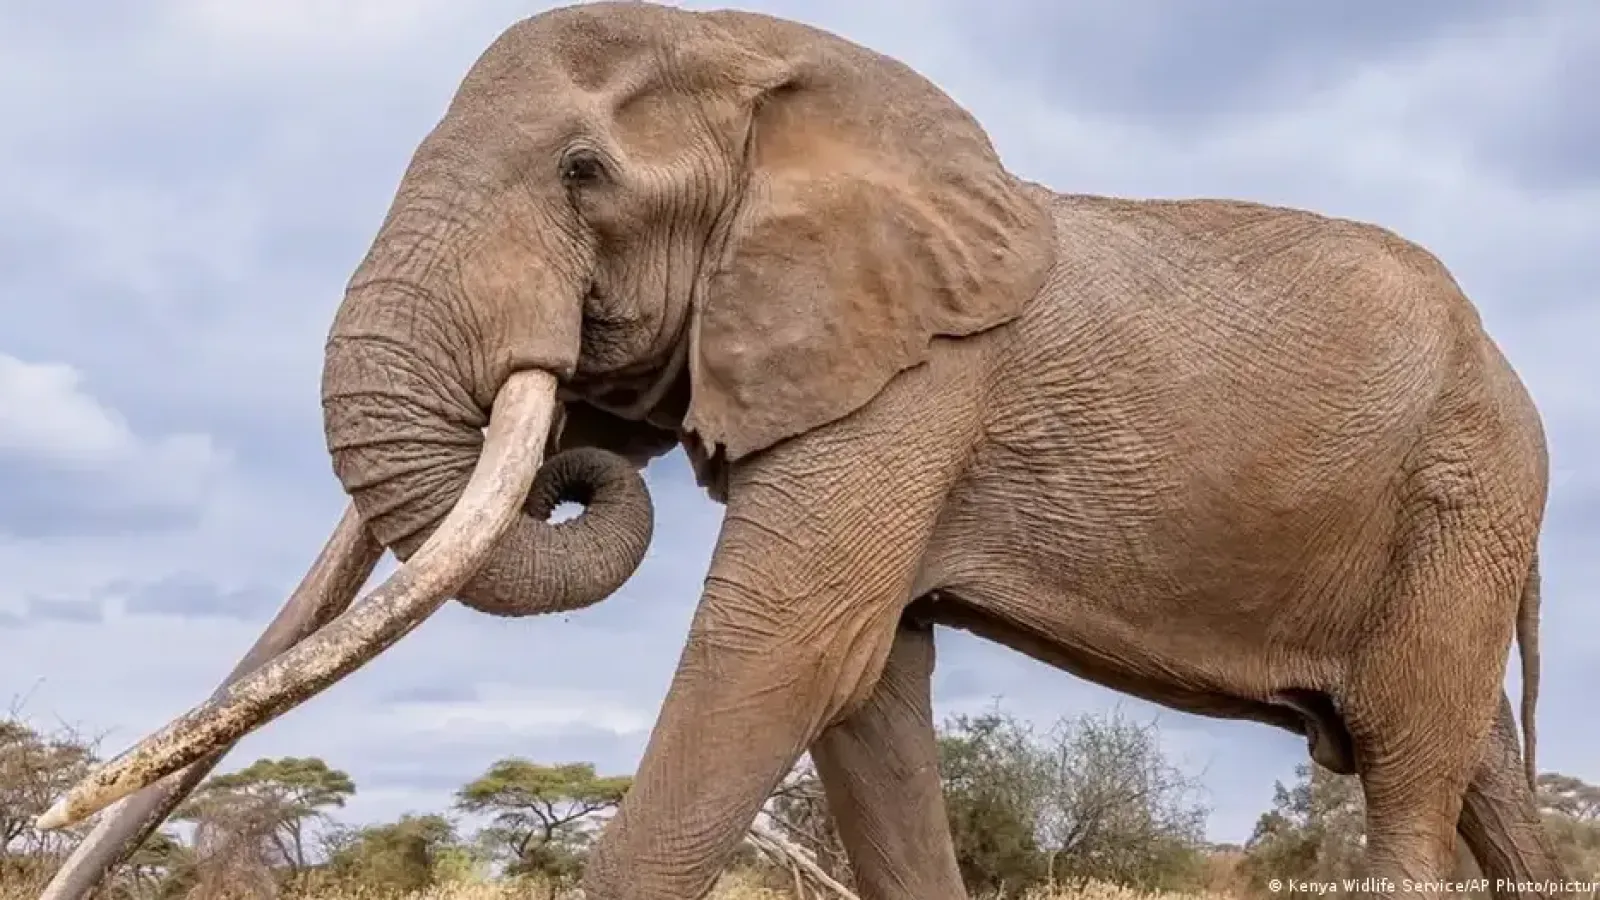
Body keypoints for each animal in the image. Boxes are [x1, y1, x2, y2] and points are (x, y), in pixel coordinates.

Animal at [37, 3, 1569, 899]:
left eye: (582, 176)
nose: (569, 453)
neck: (773, 66)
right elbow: (865, 700)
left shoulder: (913, 383)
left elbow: (780, 657)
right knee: (1475, 761)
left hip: (1467, 484)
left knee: (1409, 769)